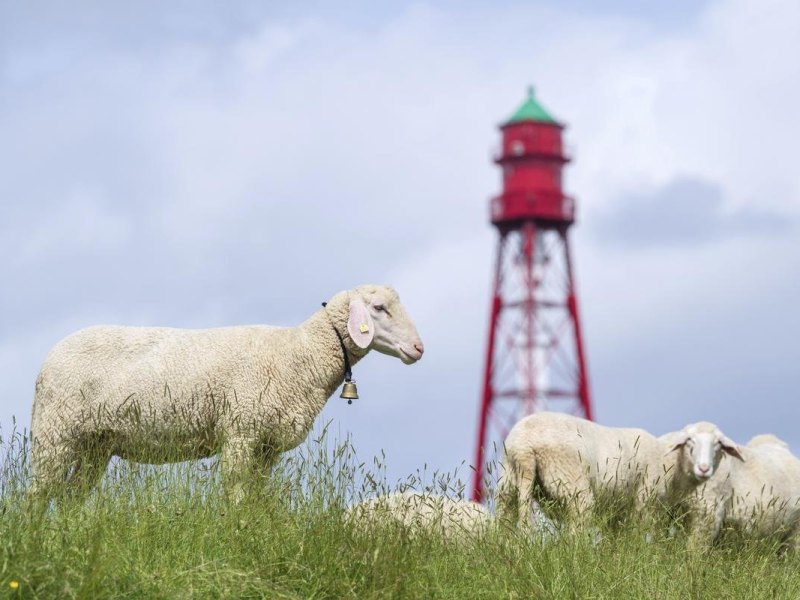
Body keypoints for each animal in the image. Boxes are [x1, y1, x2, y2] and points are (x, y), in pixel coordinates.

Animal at [29, 284, 424, 502]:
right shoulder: (240, 431)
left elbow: (257, 495)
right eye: (379, 308)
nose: (419, 348)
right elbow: (236, 490)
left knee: (71, 496)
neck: (300, 353)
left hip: (95, 441)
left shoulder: (266, 445)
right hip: (55, 432)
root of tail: (49, 359)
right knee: (38, 493)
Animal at [496, 412, 743, 531]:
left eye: (719, 445)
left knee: (504, 523)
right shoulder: (644, 502)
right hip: (573, 485)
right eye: (690, 442)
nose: (704, 469)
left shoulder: (618, 512)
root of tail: (525, 446)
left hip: (507, 483)